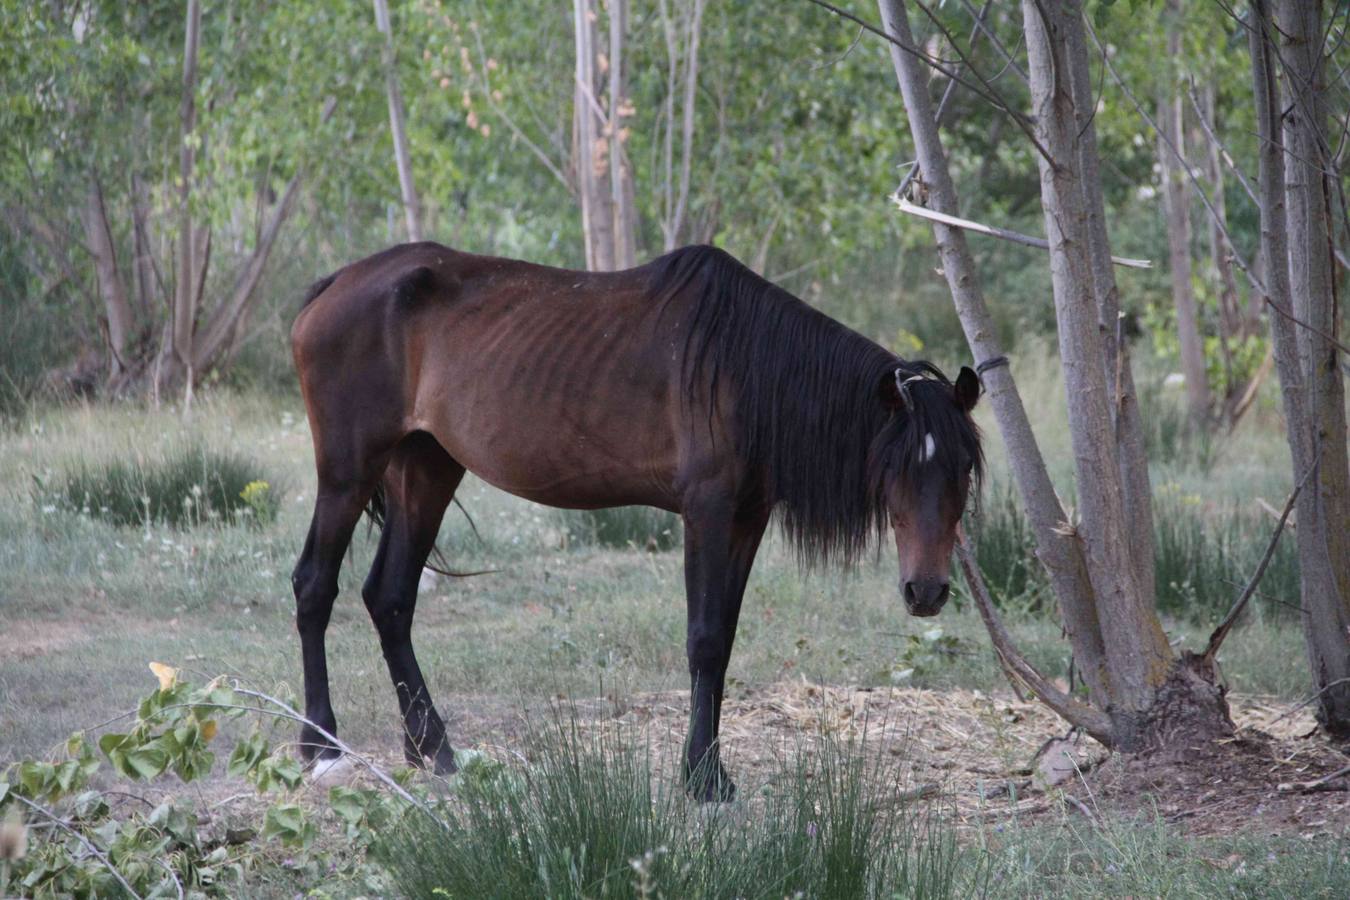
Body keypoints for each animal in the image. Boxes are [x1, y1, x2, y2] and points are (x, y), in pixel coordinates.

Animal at [290, 241, 982, 804]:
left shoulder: (747, 518)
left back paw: (431, 748)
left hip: (426, 467)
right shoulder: (707, 510)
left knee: (390, 598)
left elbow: (724, 642)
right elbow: (704, 640)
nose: (926, 591)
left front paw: (709, 771)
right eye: (898, 468)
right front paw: (703, 780)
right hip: (349, 470)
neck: (746, 364)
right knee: (314, 586)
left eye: (963, 471)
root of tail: (335, 284)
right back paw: (321, 747)